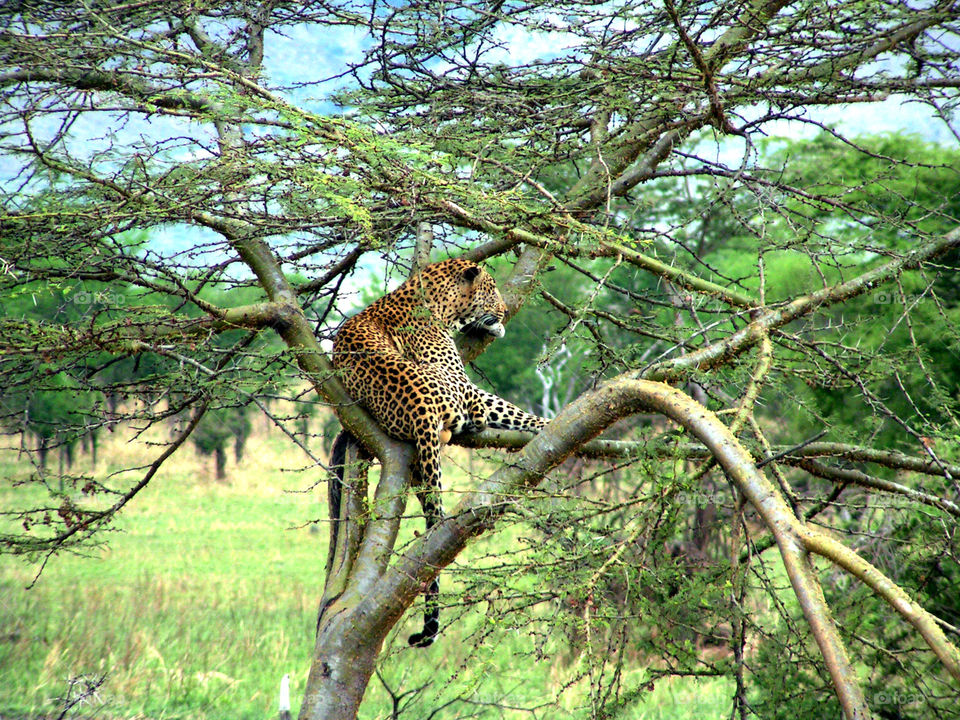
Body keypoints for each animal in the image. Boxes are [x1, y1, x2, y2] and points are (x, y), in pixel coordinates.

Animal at [328, 258, 544, 648]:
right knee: (486, 414)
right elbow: (512, 410)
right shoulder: (465, 384)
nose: (505, 311)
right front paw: (551, 422)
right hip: (460, 396)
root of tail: (421, 410)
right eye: (492, 289)